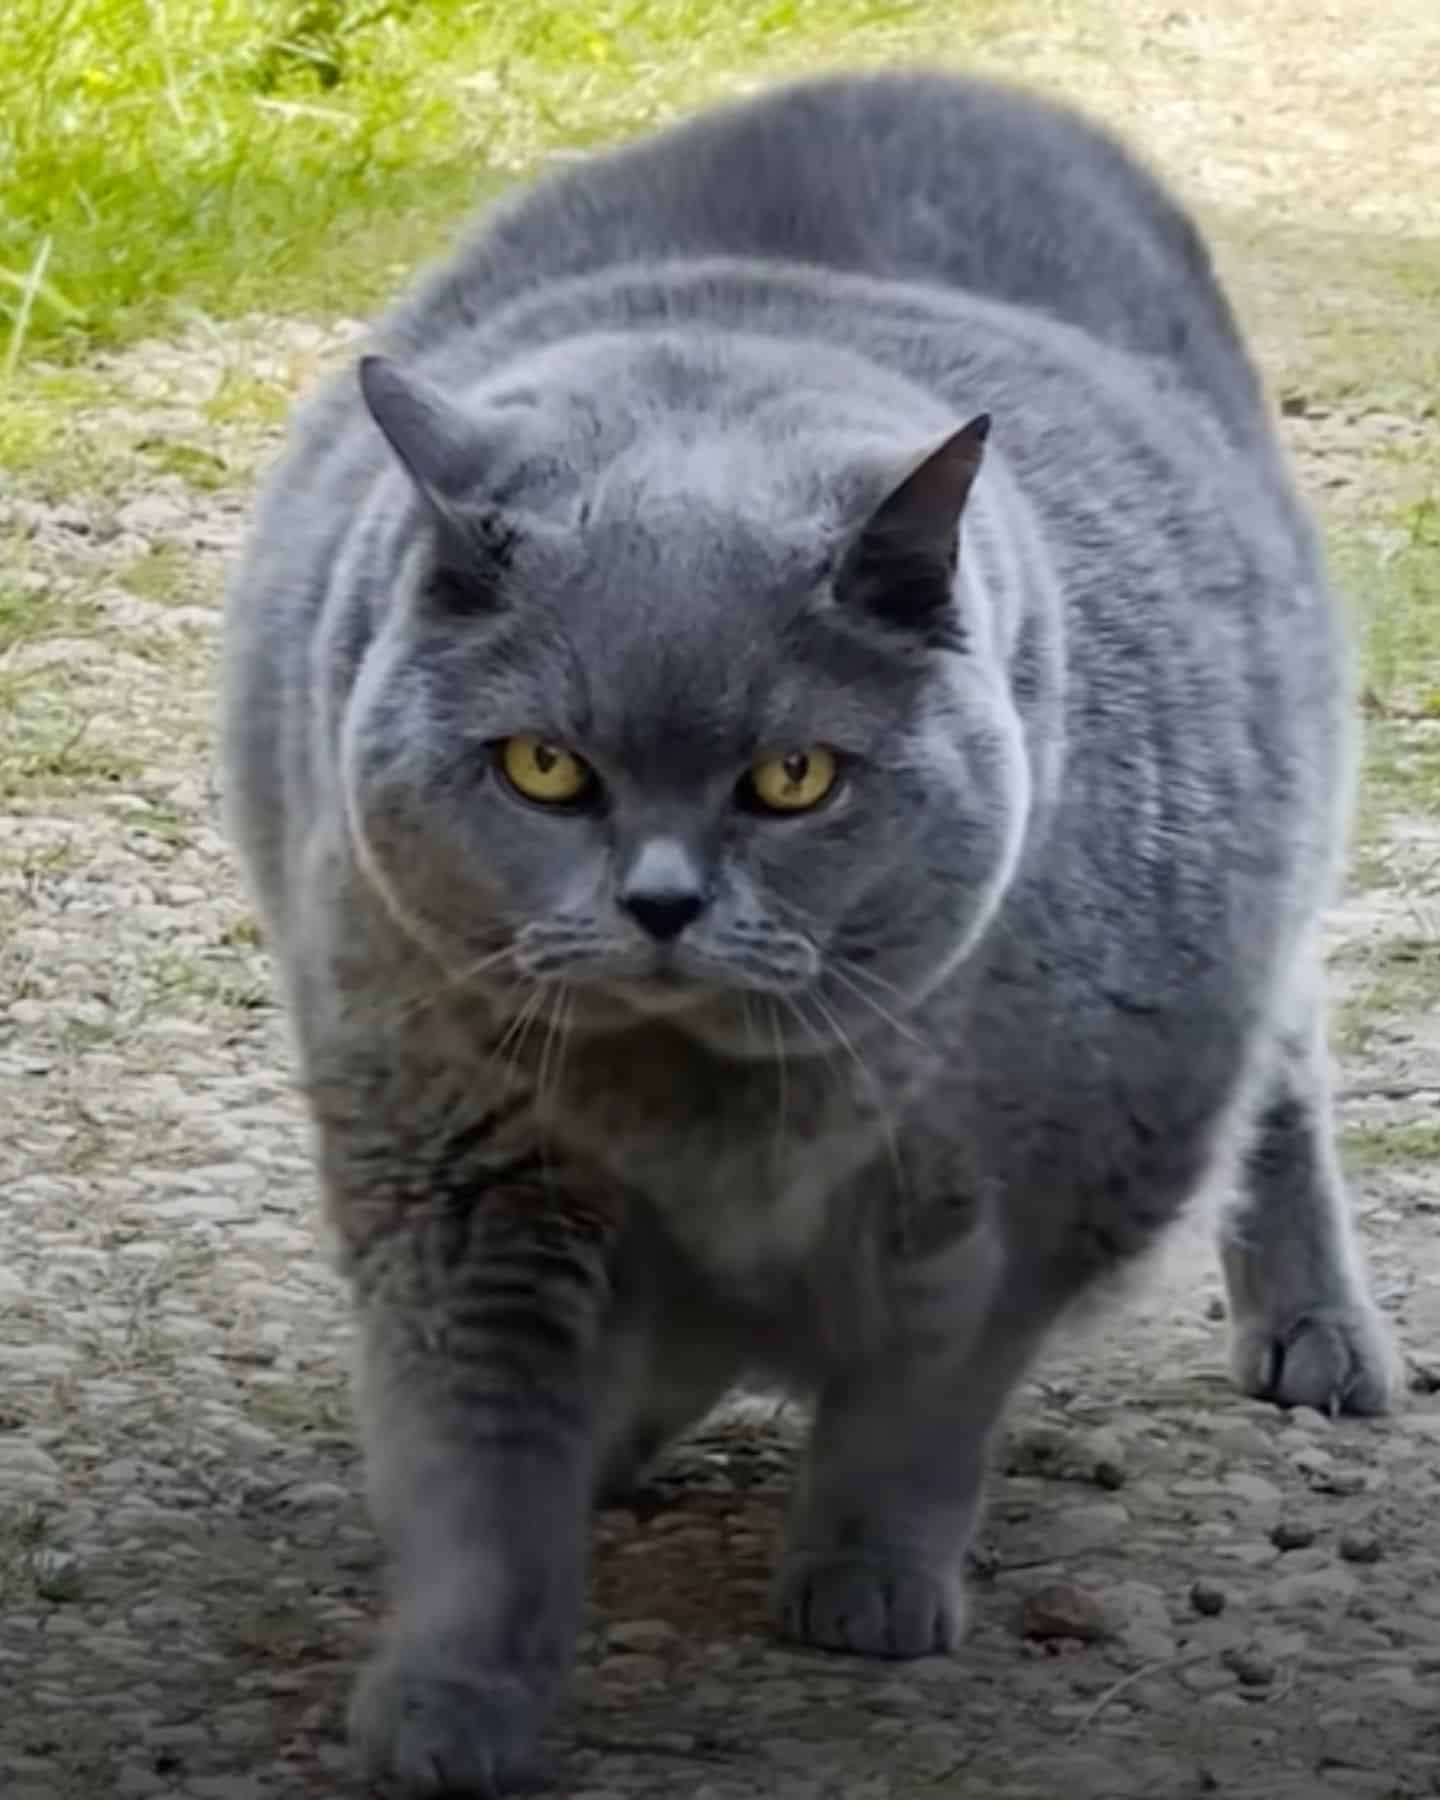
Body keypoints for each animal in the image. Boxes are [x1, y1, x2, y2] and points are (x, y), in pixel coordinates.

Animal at [222, 70, 1396, 1800]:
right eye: (544, 767)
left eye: (792, 778)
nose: (659, 902)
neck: (715, 1107)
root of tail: (951, 85)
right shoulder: (453, 1161)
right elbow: (480, 1456)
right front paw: (453, 1698)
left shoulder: (1038, 1188)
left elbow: (920, 1410)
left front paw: (864, 1586)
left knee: (1292, 1076)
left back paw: (1318, 1341)